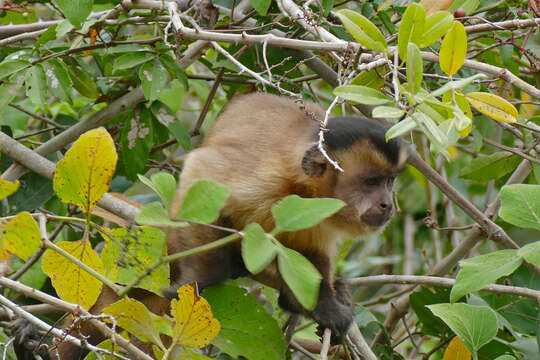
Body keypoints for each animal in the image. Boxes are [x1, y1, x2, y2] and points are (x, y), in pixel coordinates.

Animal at [10, 92, 408, 358]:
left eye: (391, 181)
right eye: (371, 182)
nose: (389, 204)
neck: (304, 189)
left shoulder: (320, 213)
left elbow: (312, 258)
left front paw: (329, 306)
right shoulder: (268, 176)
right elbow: (203, 174)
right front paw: (204, 277)